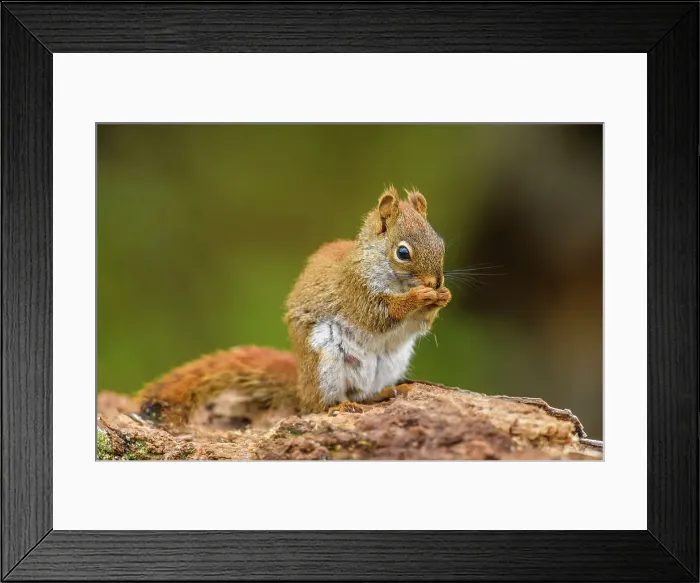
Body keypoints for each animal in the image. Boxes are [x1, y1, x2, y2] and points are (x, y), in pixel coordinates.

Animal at [137, 186, 451, 427]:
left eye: (441, 243)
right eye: (403, 252)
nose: (435, 282)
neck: (393, 279)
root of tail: (301, 384)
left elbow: (418, 324)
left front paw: (441, 298)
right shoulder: (355, 291)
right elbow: (379, 315)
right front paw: (419, 297)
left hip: (390, 363)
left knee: (362, 394)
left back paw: (385, 393)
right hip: (324, 363)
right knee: (318, 405)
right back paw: (336, 407)